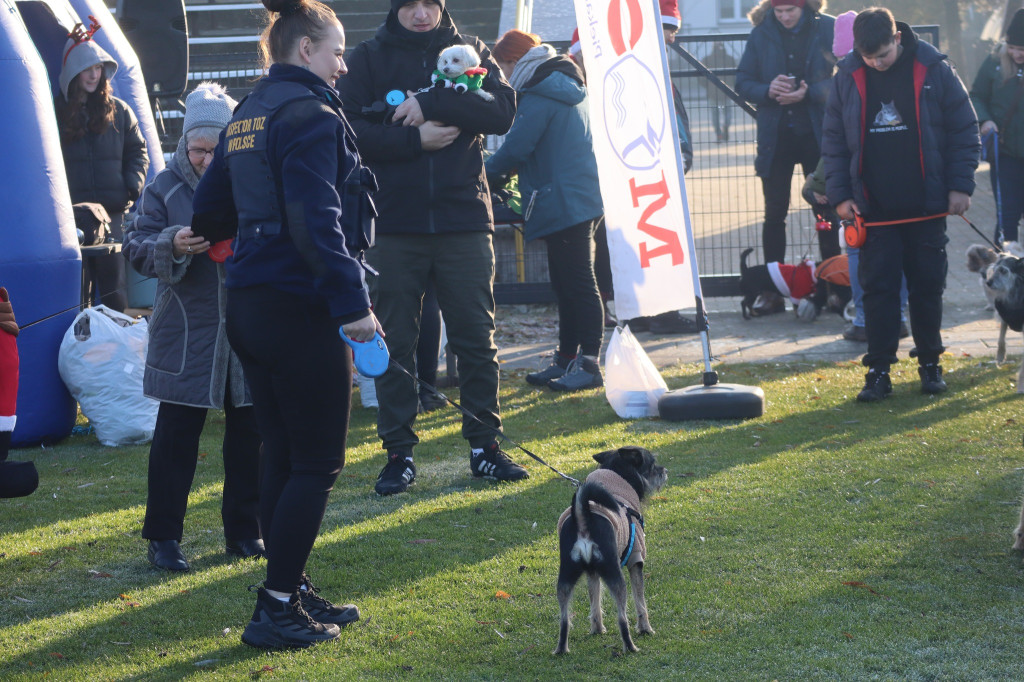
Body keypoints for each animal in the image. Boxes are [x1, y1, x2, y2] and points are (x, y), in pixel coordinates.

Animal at [557, 446, 667, 655]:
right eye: (653, 464)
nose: (665, 470)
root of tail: (582, 517)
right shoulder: (635, 561)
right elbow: (640, 602)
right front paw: (646, 629)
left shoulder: (592, 573)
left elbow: (595, 602)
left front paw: (597, 629)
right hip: (616, 577)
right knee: (622, 618)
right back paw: (630, 647)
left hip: (565, 578)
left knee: (564, 619)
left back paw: (561, 649)